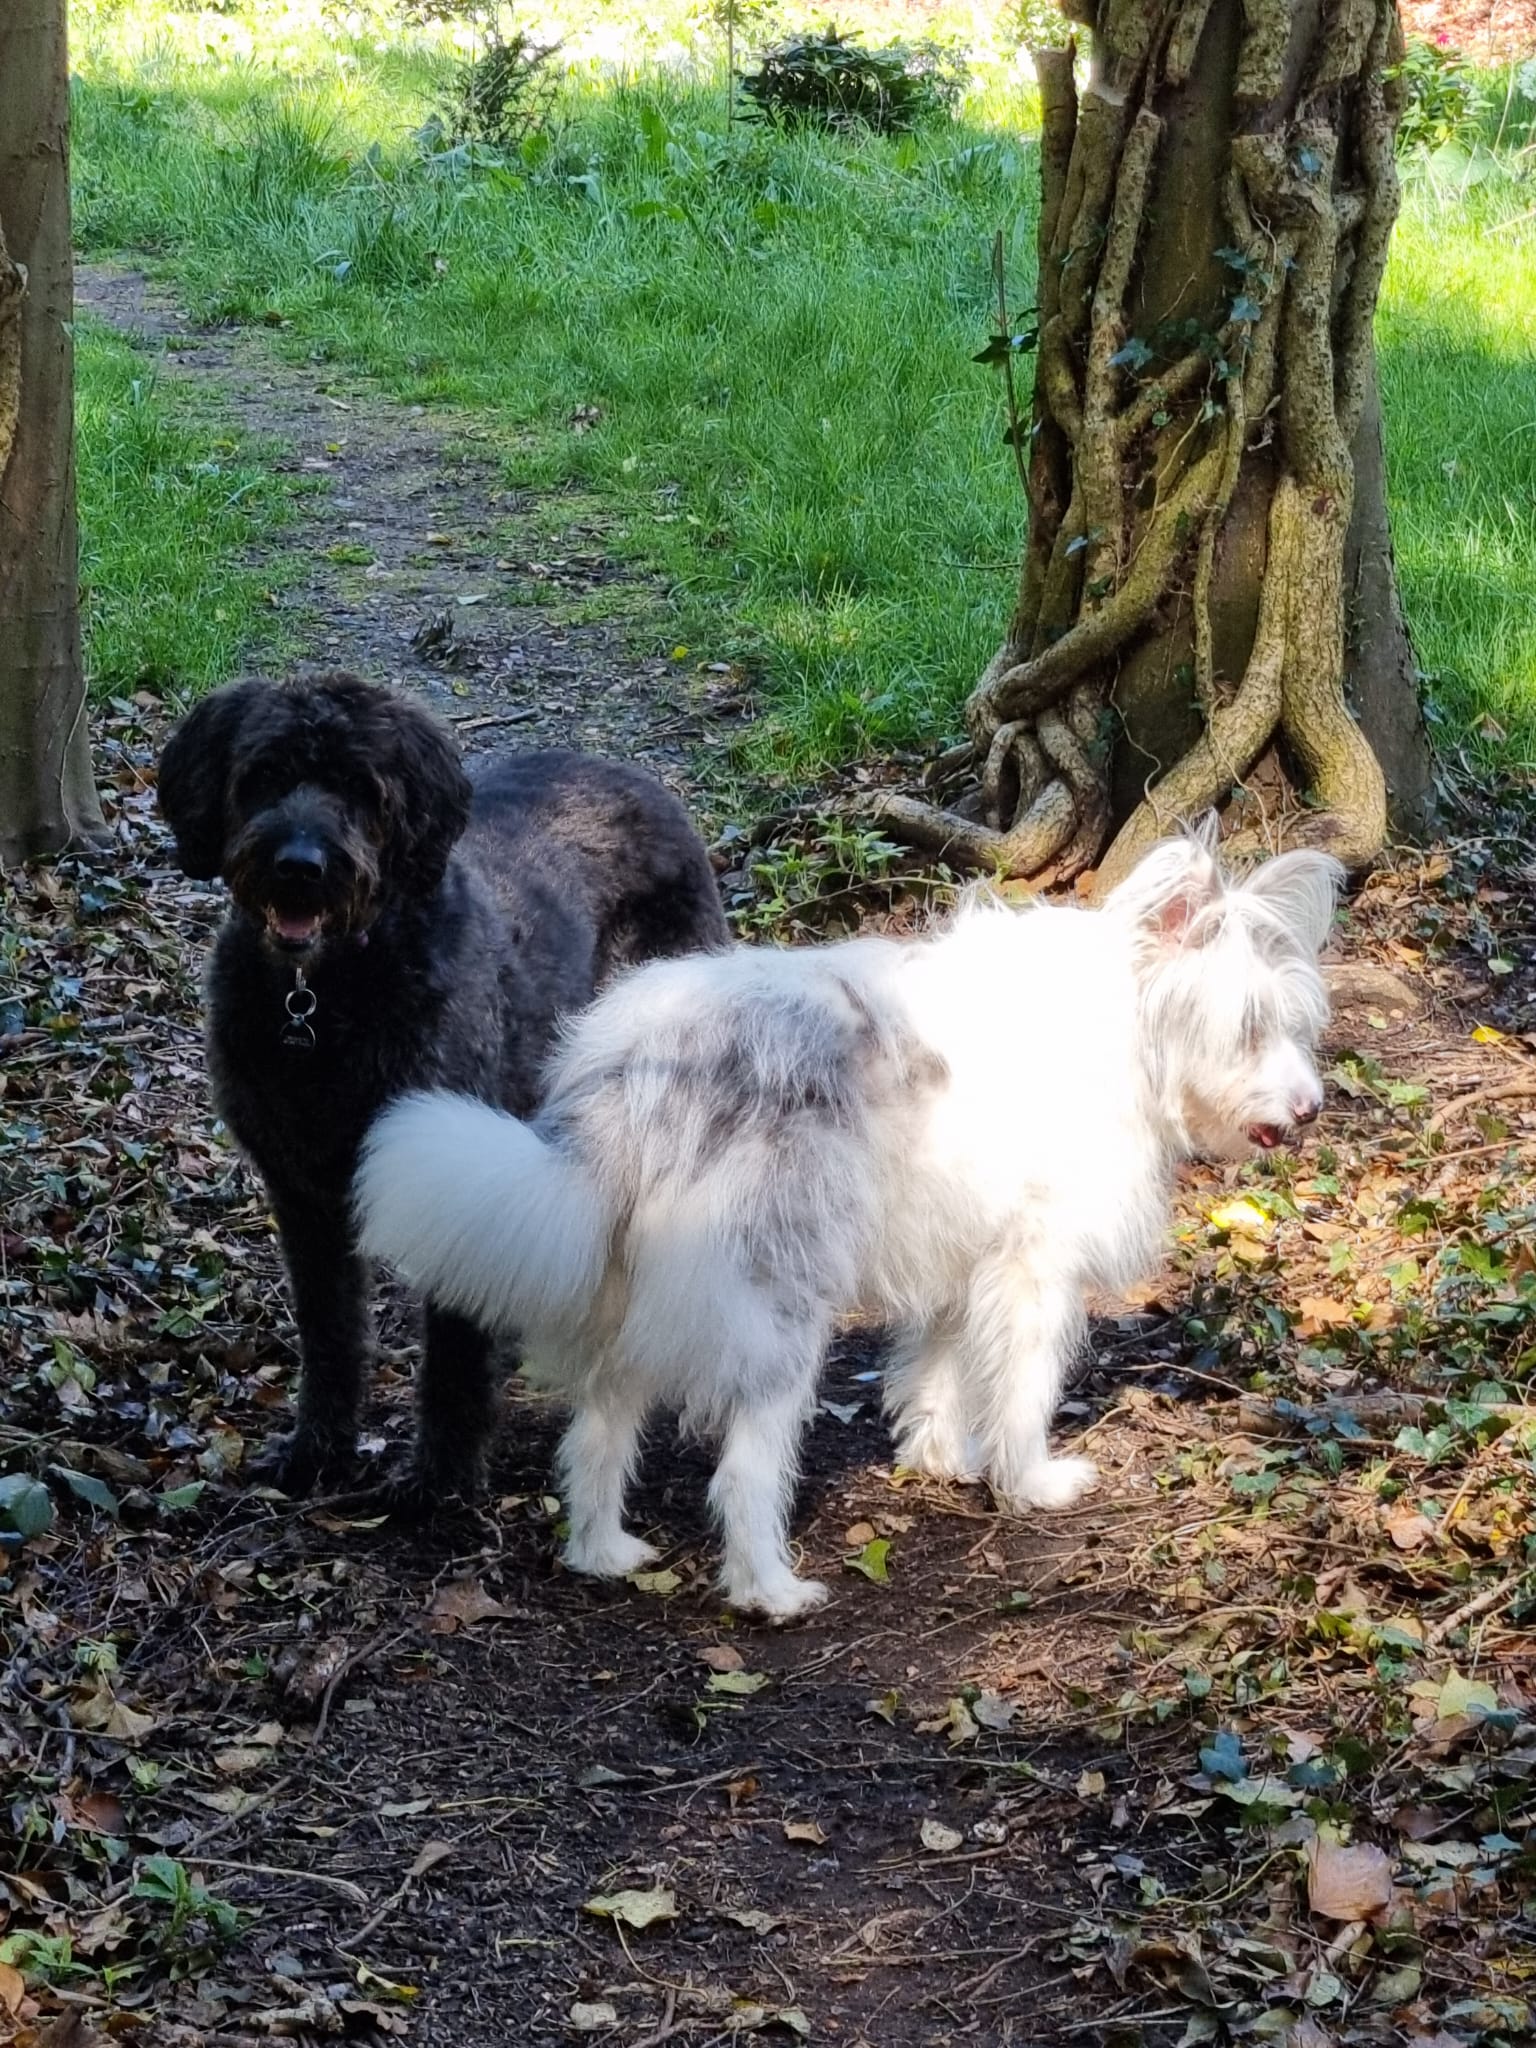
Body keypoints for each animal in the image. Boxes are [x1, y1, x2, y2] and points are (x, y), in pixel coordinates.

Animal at [157, 670, 729, 1502]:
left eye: (360, 787)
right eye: (262, 775)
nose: (300, 865)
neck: (327, 996)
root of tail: (638, 779)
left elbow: (453, 1348)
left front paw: (443, 1480)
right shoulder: (302, 1195)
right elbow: (330, 1329)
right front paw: (318, 1448)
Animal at [354, 831, 1339, 1618]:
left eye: (1290, 1022)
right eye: (1248, 1027)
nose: (1311, 1109)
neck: (1122, 1028)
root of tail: (637, 1078)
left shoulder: (958, 1260)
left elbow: (936, 1371)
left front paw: (939, 1457)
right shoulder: (1033, 1270)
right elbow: (1022, 1390)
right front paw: (1029, 1480)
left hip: (637, 1308)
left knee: (596, 1434)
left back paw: (603, 1553)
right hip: (777, 1317)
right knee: (743, 1473)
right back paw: (770, 1592)